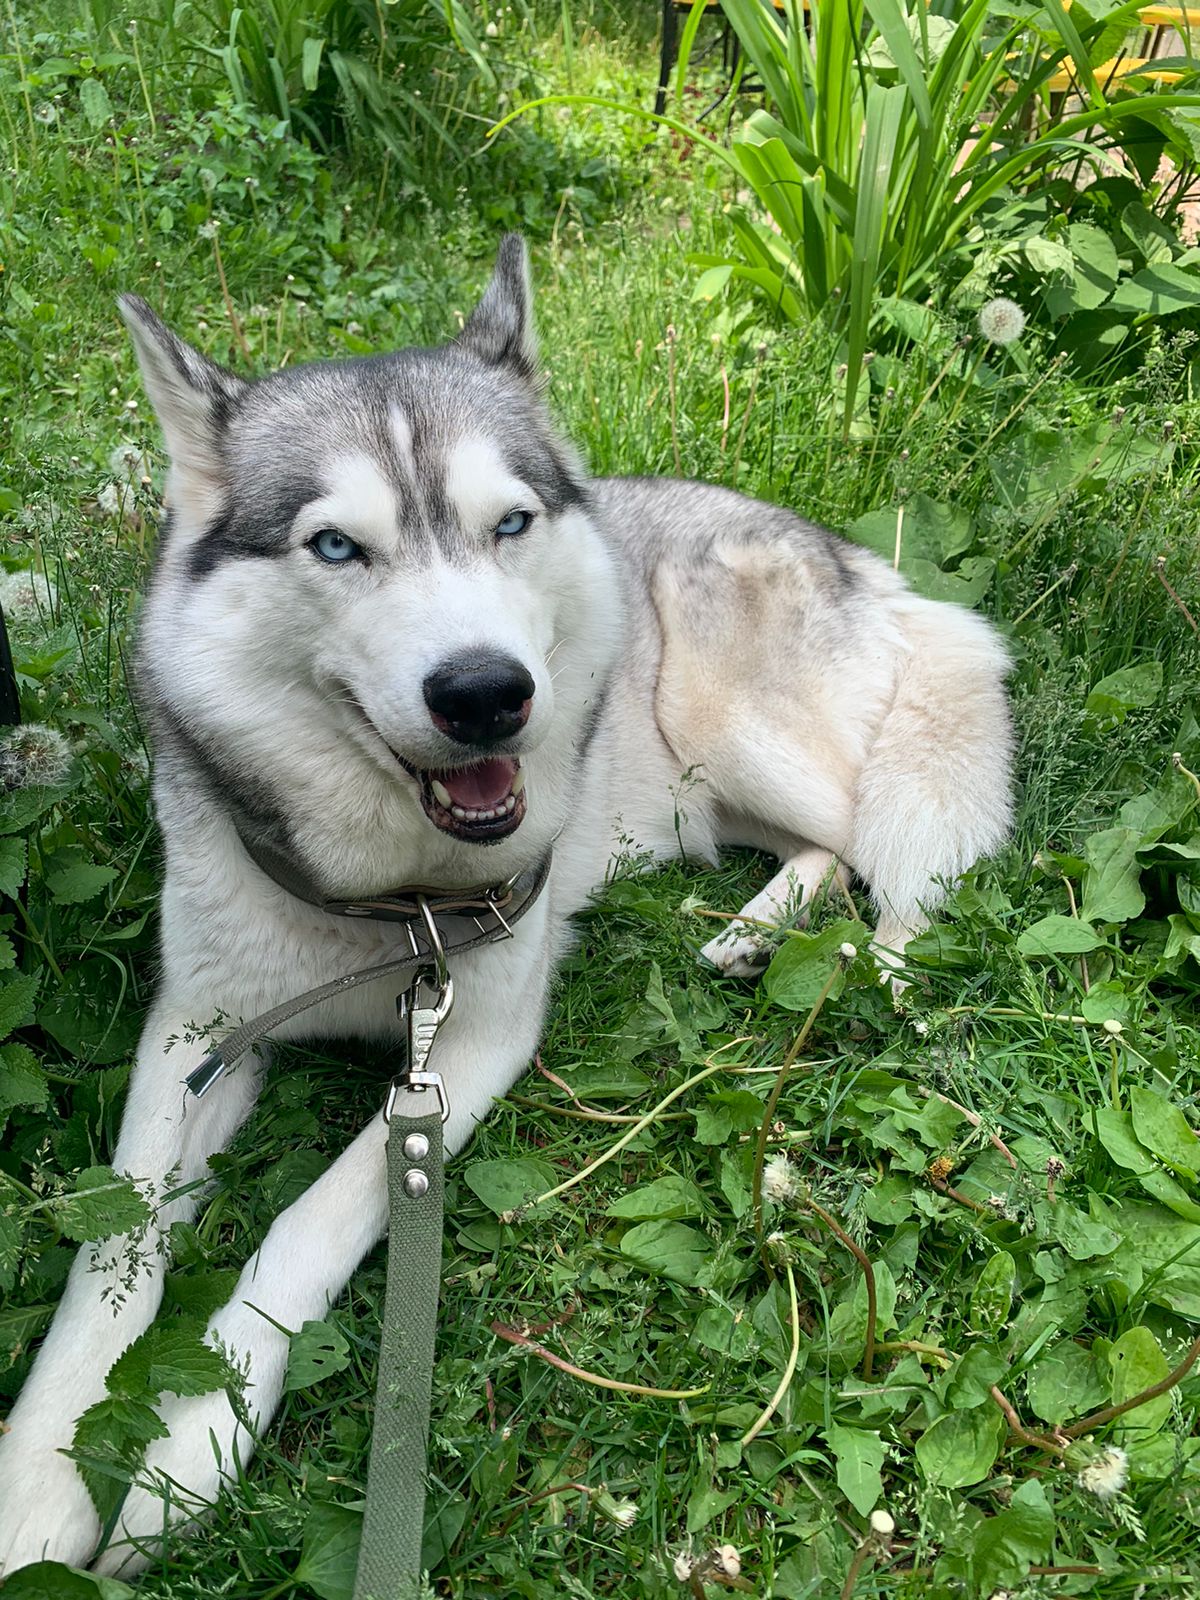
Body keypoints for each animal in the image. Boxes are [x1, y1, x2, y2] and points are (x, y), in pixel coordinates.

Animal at [0, 236, 1017, 1574]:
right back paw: (750, 934)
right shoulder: (195, 1026)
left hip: (722, 723)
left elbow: (313, 1220)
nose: (488, 692)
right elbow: (114, 1241)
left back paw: (877, 967)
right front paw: (40, 1476)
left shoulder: (473, 1046)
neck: (385, 906)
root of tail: (854, 553)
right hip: (693, 796)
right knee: (812, 847)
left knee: (873, 843)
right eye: (336, 547)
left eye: (511, 523)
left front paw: (186, 1448)